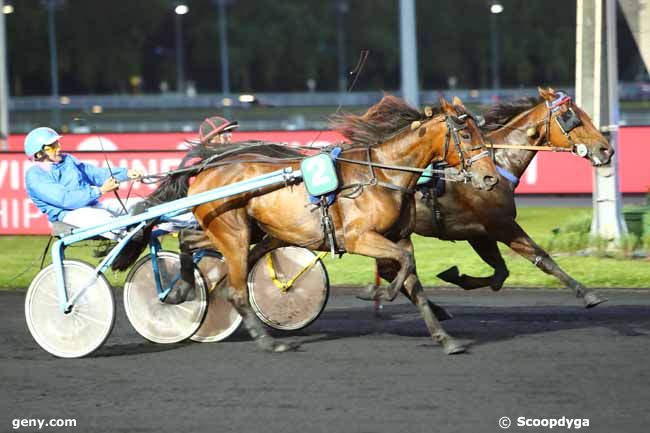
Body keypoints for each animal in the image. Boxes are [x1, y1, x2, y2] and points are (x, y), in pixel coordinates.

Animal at [114, 96, 496, 352]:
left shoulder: (398, 238)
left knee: (188, 240)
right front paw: (376, 292)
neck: (383, 175)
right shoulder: (359, 237)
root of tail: (208, 166)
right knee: (234, 289)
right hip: (234, 233)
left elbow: (412, 278)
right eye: (465, 135)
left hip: (239, 230)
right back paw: (269, 342)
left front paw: (445, 339)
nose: (490, 178)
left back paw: (181, 288)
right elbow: (404, 266)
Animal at [362, 86, 612, 308]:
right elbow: (541, 257)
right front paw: (587, 293)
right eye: (571, 116)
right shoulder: (500, 224)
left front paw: (456, 276)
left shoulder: (478, 232)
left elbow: (500, 273)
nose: (606, 150)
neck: (497, 163)